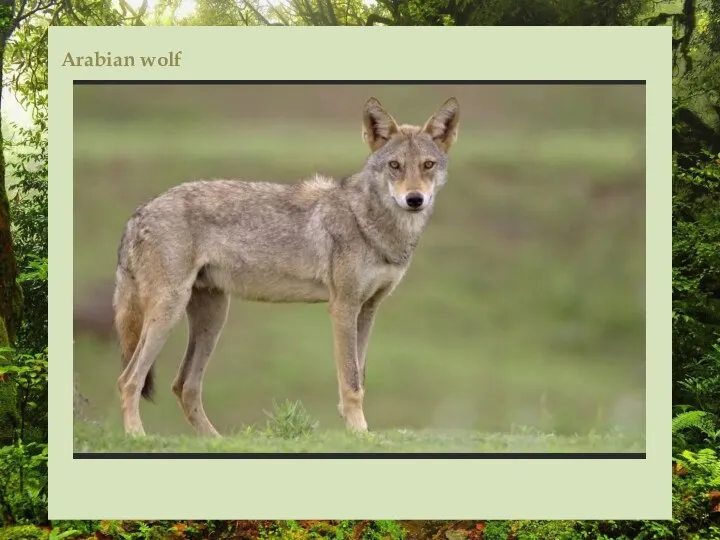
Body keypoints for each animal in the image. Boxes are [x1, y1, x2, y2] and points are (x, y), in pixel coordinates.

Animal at [112, 96, 462, 434]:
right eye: (395, 166)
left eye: (428, 165)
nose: (414, 199)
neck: (370, 223)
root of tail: (138, 214)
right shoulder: (343, 307)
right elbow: (350, 382)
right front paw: (359, 432)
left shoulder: (368, 309)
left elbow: (360, 379)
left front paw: (357, 430)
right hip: (168, 313)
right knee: (129, 380)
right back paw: (137, 436)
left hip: (213, 317)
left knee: (184, 386)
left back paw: (215, 441)